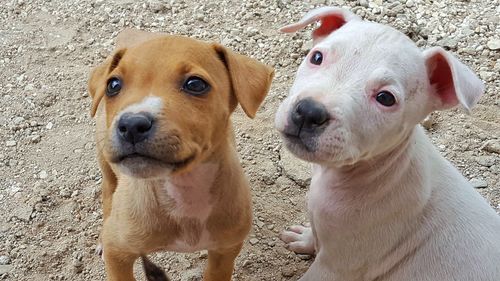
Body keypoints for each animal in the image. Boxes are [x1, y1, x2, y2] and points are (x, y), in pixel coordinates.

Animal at [87, 29, 274, 280]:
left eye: (195, 84)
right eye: (113, 85)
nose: (132, 124)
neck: (183, 189)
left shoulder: (224, 252)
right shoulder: (118, 254)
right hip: (107, 166)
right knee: (108, 193)